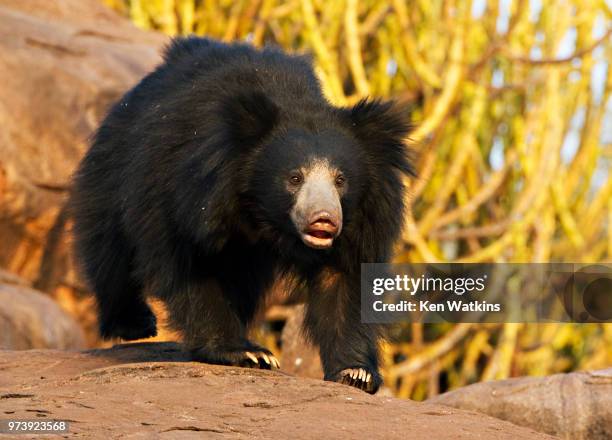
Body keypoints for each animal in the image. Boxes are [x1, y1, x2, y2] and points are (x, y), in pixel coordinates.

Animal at [73, 37, 416, 394]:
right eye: (294, 178)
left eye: (340, 180)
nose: (324, 220)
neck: (262, 213)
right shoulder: (188, 194)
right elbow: (192, 264)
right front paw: (247, 353)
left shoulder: (365, 217)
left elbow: (343, 278)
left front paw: (355, 372)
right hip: (114, 168)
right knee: (109, 250)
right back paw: (132, 324)